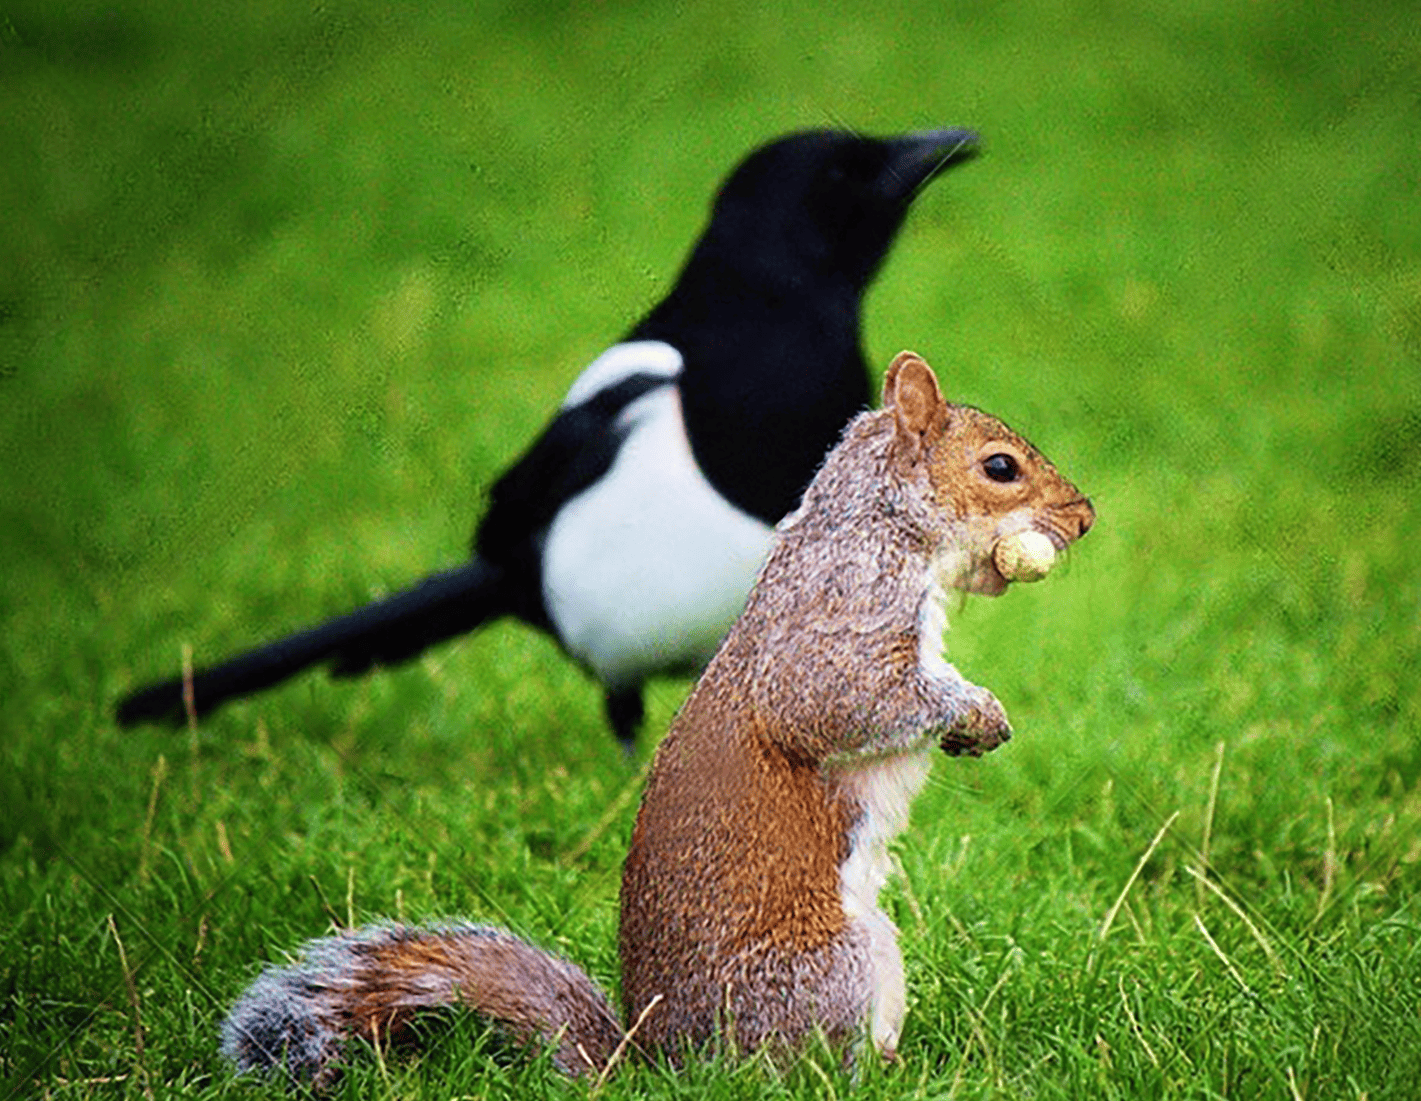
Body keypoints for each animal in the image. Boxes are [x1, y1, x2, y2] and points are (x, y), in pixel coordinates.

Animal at [221, 351, 1095, 1087]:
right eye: (999, 467)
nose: (1084, 516)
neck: (877, 520)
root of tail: (659, 1062)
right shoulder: (844, 610)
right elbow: (833, 700)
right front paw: (973, 709)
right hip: (826, 967)